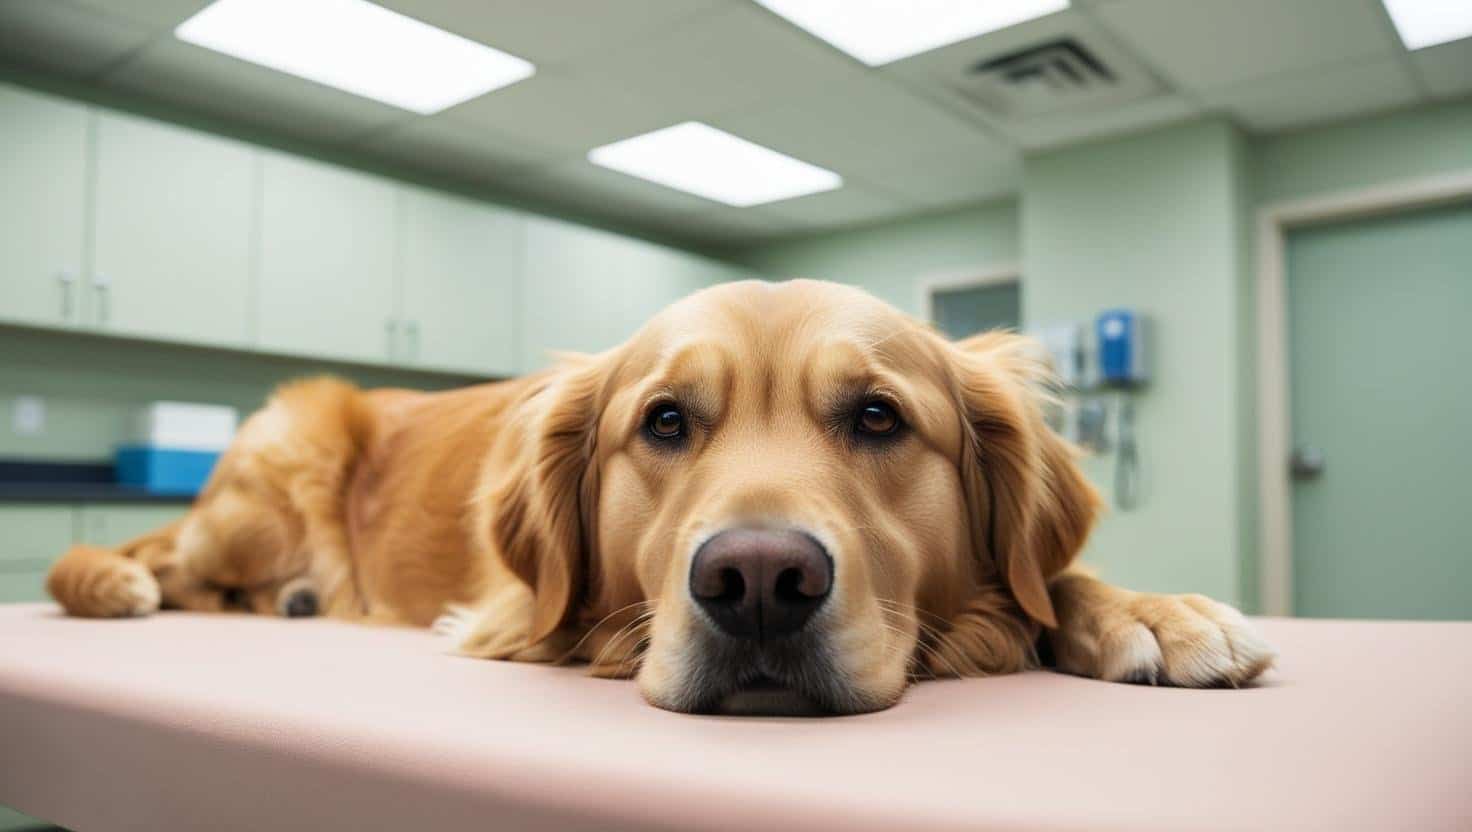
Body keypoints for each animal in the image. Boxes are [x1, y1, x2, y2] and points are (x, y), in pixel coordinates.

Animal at [48, 278, 1277, 712]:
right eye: (666, 421)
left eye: (878, 417)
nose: (759, 583)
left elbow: (1049, 577)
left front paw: (1157, 614)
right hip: (287, 462)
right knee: (179, 568)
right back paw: (140, 582)